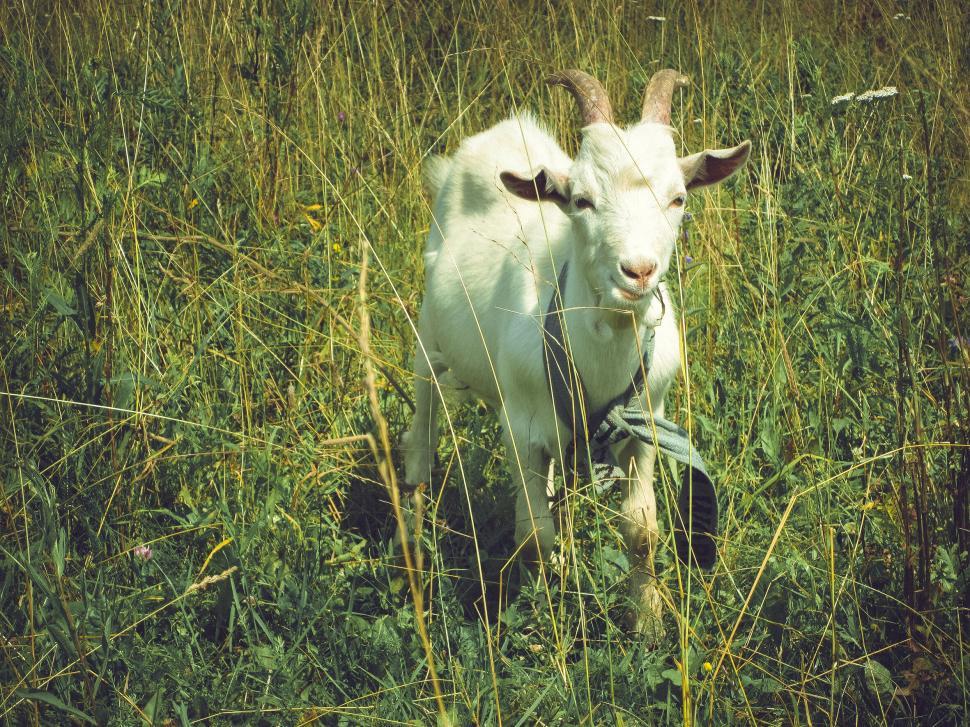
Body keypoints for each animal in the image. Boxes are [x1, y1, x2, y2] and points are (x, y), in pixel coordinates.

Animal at [402, 69, 750, 636]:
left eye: (678, 198)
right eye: (582, 200)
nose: (638, 271)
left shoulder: (644, 424)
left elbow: (642, 531)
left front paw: (647, 622)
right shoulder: (520, 428)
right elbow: (533, 536)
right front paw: (545, 614)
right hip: (429, 342)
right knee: (422, 438)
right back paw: (408, 543)